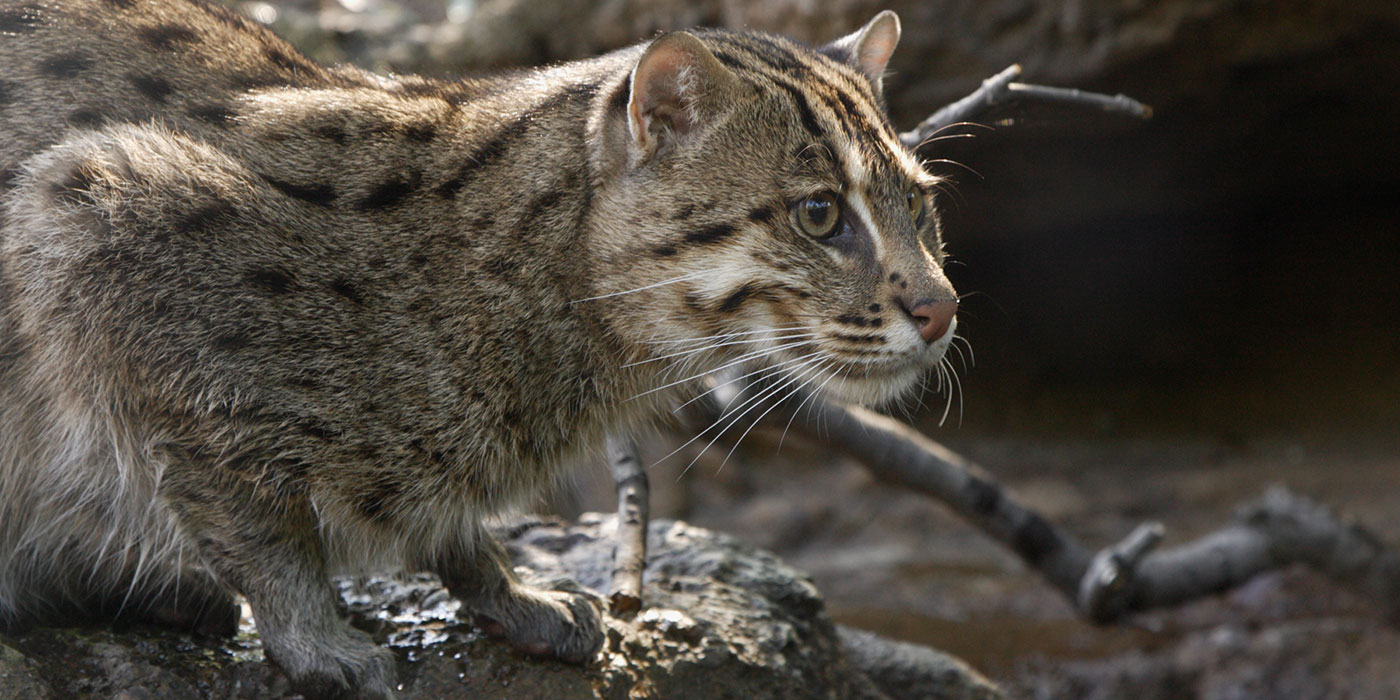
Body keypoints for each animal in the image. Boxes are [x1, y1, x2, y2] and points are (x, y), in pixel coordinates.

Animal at [0, 2, 957, 697]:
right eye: (819, 214)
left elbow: (445, 523)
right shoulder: (93, 215)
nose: (943, 309)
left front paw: (507, 587)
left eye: (920, 203)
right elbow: (254, 519)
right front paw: (313, 635)